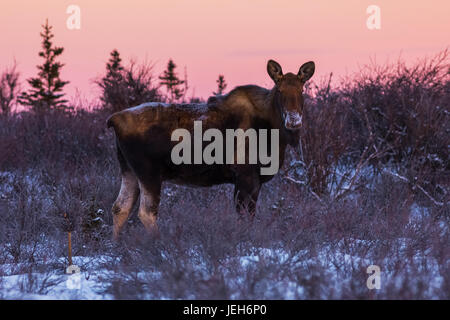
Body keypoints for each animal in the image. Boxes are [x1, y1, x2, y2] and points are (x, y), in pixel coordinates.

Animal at [107, 60, 314, 239]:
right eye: (279, 90)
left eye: (302, 89)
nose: (294, 120)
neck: (274, 132)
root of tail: (113, 120)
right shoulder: (245, 175)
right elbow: (244, 216)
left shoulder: (254, 181)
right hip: (149, 172)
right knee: (146, 212)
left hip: (129, 170)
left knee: (120, 207)